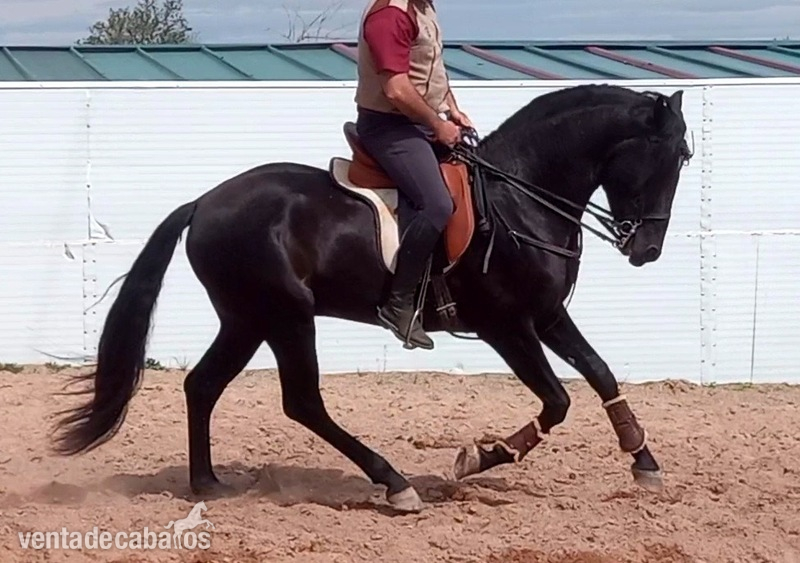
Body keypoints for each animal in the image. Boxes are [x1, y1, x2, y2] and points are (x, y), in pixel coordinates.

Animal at [51, 83, 692, 513]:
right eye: (664, 158)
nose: (647, 250)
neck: (520, 197)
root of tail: (204, 202)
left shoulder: (547, 314)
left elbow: (601, 373)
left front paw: (644, 461)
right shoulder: (506, 325)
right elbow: (558, 400)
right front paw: (479, 458)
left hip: (246, 319)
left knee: (203, 385)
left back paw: (207, 483)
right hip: (285, 316)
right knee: (302, 402)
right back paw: (395, 484)